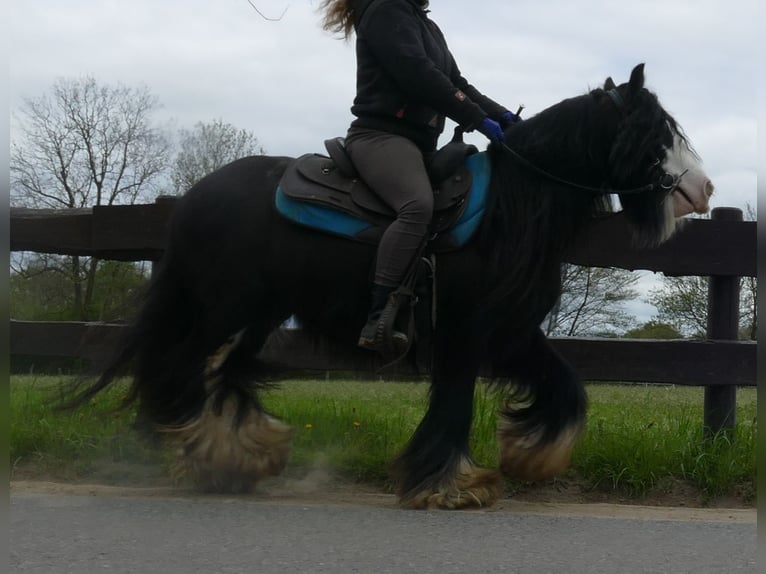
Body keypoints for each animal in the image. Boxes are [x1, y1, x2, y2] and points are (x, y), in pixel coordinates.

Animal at [73, 65, 712, 510]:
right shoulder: (462, 332)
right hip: (219, 310)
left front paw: (531, 454)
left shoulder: (510, 332)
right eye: (655, 132)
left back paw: (236, 457)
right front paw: (449, 485)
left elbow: (567, 388)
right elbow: (454, 404)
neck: (510, 208)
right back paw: (199, 450)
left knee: (222, 373)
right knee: (180, 368)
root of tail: (193, 198)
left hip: (259, 314)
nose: (702, 189)